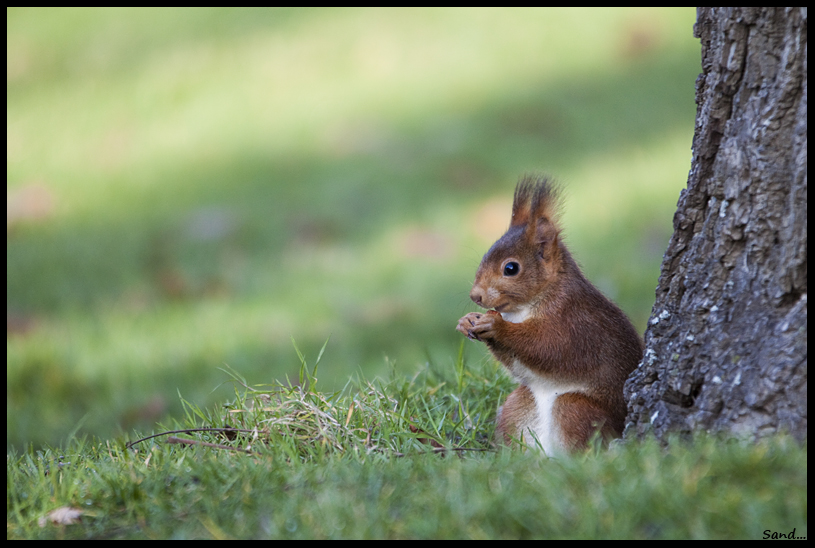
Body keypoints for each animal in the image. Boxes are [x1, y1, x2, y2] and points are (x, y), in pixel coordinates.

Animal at [460, 176, 644, 454]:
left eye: (511, 268)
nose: (475, 296)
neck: (523, 309)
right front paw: (468, 320)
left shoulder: (573, 321)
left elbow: (548, 347)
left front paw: (497, 326)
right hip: (518, 404)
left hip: (576, 408)